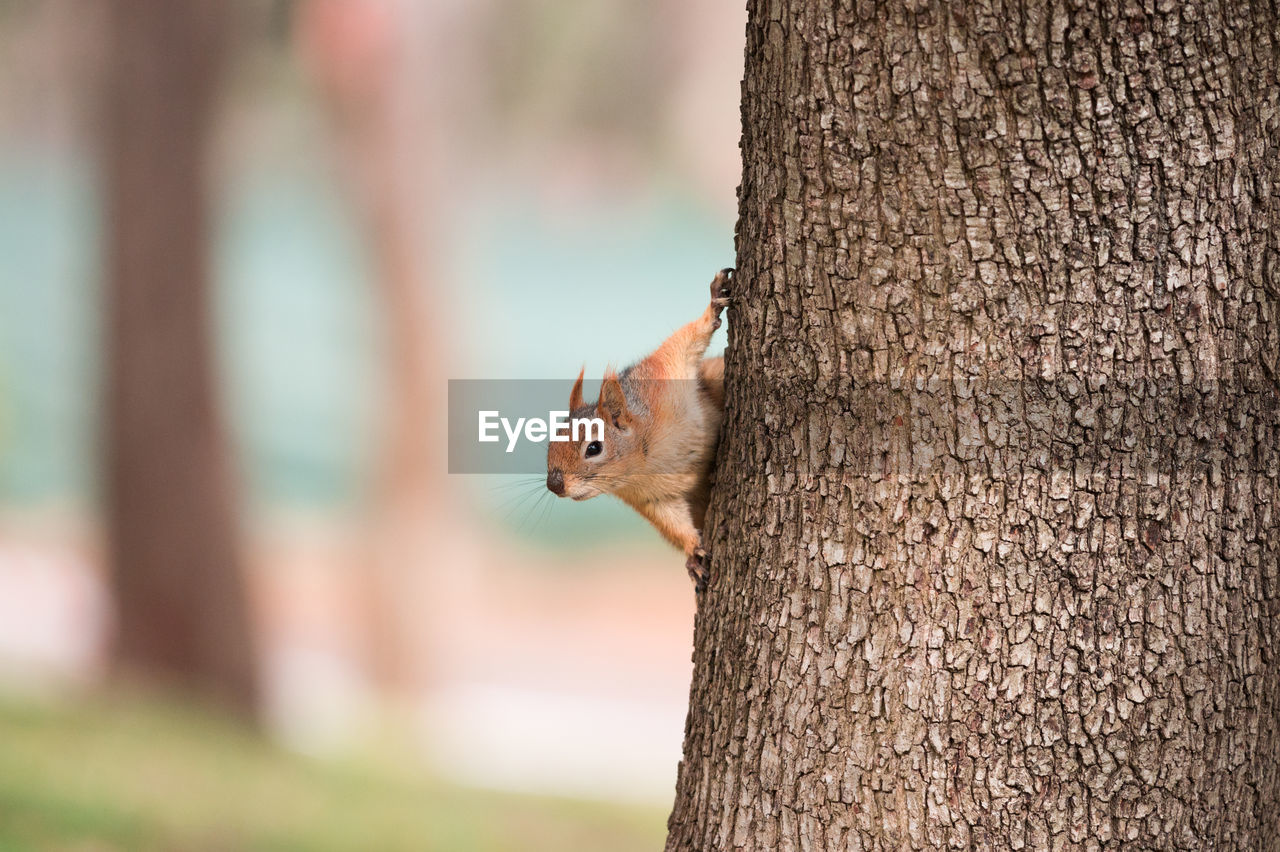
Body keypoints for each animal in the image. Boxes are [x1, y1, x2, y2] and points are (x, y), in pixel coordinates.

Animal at [545, 268, 737, 588]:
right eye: (551, 441)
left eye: (594, 448)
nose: (554, 485)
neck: (644, 461)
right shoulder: (652, 499)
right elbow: (673, 522)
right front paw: (693, 552)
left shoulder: (662, 377)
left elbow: (685, 343)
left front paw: (714, 303)